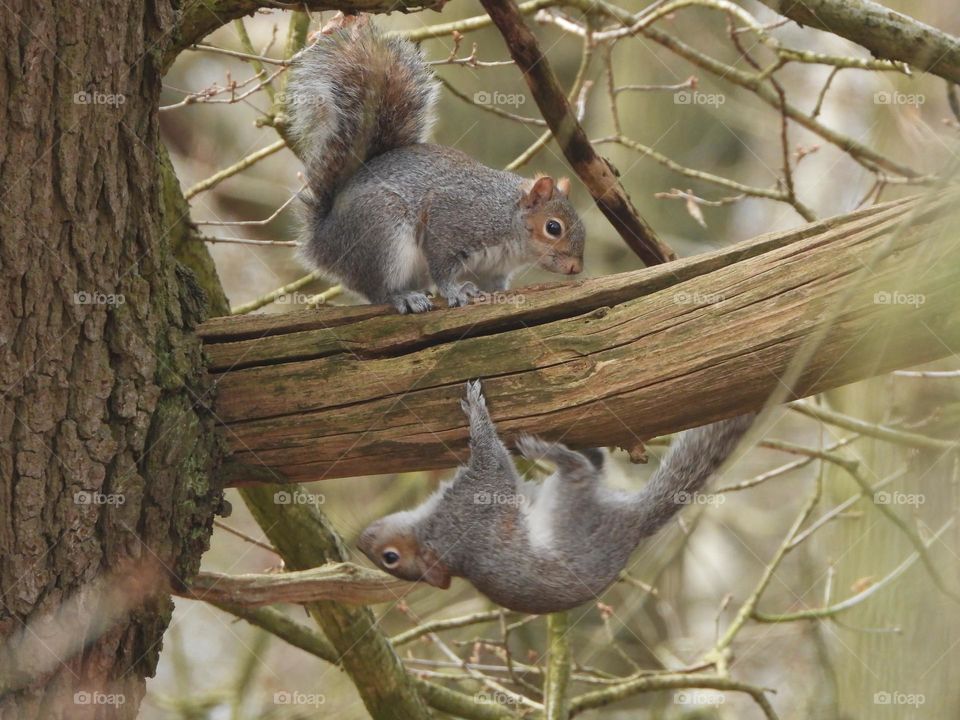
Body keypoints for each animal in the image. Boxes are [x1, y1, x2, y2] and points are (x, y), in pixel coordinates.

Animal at [285, 17, 586, 314]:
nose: (575, 268)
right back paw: (403, 297)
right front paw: (455, 291)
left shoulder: (493, 269)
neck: (508, 221)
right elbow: (442, 268)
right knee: (378, 291)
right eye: (553, 227)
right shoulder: (452, 223)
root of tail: (323, 241)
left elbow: (494, 285)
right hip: (382, 232)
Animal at [358, 381, 755, 614]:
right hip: (569, 509)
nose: (362, 538)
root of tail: (632, 524)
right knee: (580, 473)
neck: (431, 536)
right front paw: (477, 411)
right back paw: (550, 451)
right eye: (390, 559)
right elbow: (492, 461)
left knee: (588, 469)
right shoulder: (473, 504)